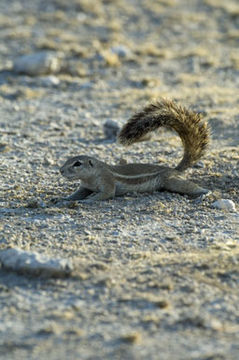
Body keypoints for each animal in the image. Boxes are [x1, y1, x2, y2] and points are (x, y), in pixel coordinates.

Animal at [57, 97, 209, 202]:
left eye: (77, 163)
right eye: (67, 160)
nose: (61, 170)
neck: (91, 177)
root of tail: (174, 169)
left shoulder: (107, 181)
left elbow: (106, 194)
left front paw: (86, 201)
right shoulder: (84, 187)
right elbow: (76, 194)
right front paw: (63, 199)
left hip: (171, 181)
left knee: (188, 186)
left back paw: (204, 192)